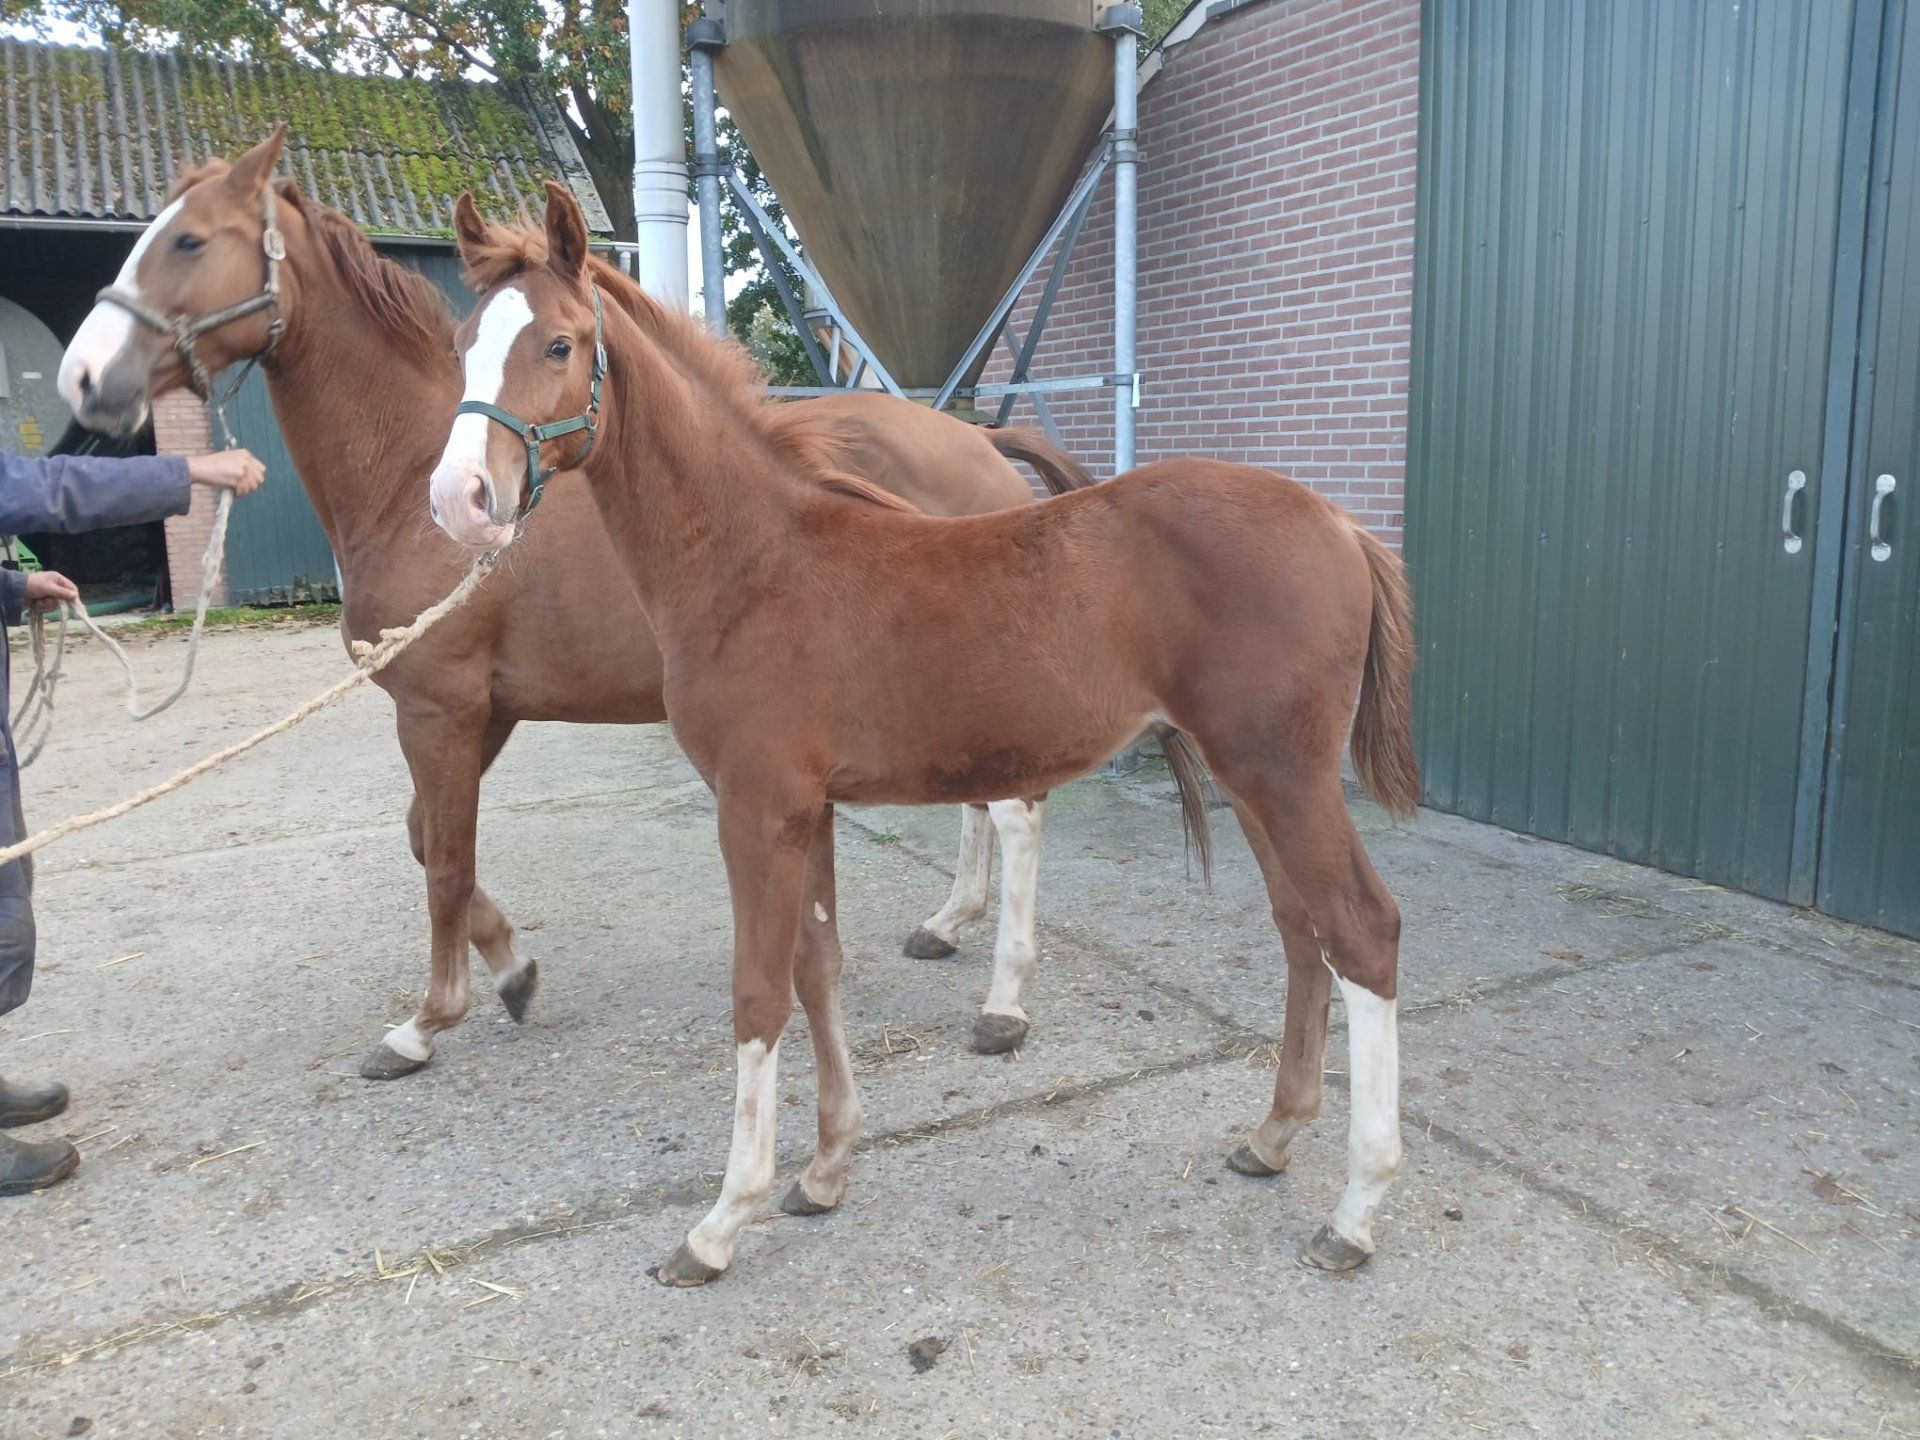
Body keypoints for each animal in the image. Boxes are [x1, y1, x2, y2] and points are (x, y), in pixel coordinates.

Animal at [55, 128, 1159, 1077]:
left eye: (190, 239)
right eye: (464, 342)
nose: (82, 377)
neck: (402, 477)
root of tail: (981, 443)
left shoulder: (441, 707)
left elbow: (443, 858)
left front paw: (424, 1023)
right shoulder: (482, 712)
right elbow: (427, 842)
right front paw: (513, 974)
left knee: (1015, 812)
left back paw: (1004, 1003)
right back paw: (948, 926)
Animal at [427, 183, 1418, 1287]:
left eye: (559, 343)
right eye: (464, 342)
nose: (460, 499)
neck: (750, 560)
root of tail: (1339, 524)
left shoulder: (757, 808)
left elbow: (757, 995)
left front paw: (720, 1223)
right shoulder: (807, 809)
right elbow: (816, 970)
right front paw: (824, 1172)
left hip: (1283, 772)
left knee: (1362, 930)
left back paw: (1355, 1213)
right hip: (1256, 778)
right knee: (1302, 932)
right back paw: (1272, 1137)